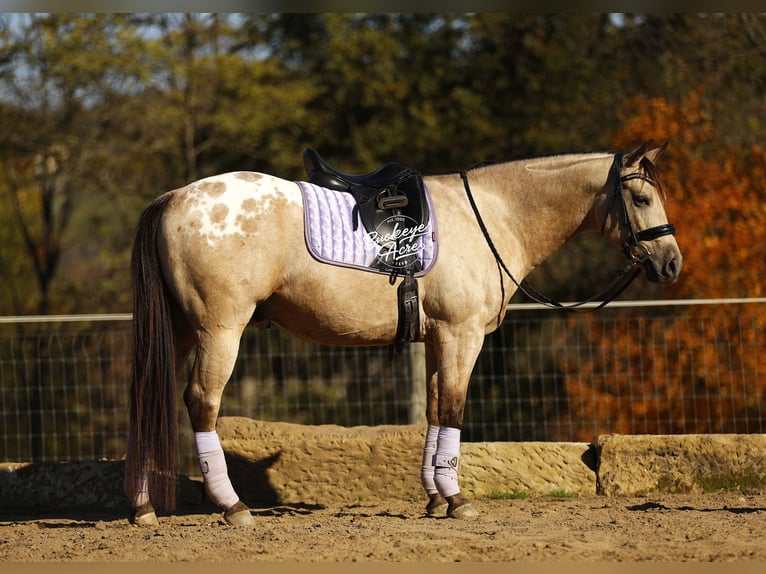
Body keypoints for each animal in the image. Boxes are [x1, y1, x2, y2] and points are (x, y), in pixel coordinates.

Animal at [124, 142, 682, 526]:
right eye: (640, 197)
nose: (672, 263)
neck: (490, 216)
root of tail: (173, 198)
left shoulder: (438, 340)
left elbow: (435, 412)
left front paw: (435, 497)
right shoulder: (462, 336)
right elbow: (453, 410)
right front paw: (456, 499)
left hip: (179, 331)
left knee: (147, 398)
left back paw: (143, 507)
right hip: (219, 330)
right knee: (201, 402)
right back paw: (233, 506)